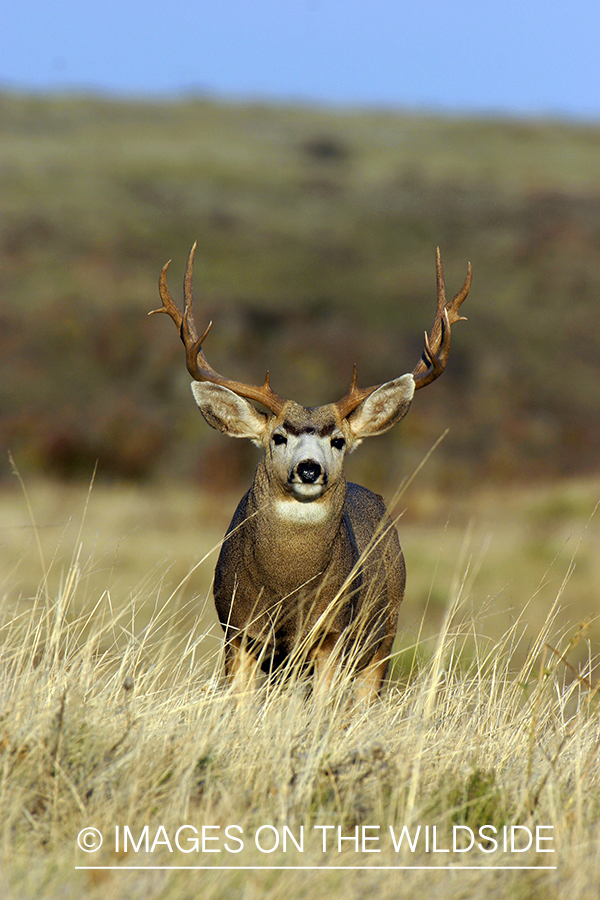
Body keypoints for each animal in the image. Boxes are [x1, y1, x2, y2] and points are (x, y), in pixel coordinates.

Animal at [150, 244, 471, 701]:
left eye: (337, 440)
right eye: (278, 436)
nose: (308, 468)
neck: (287, 589)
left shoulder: (330, 634)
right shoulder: (237, 630)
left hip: (383, 636)